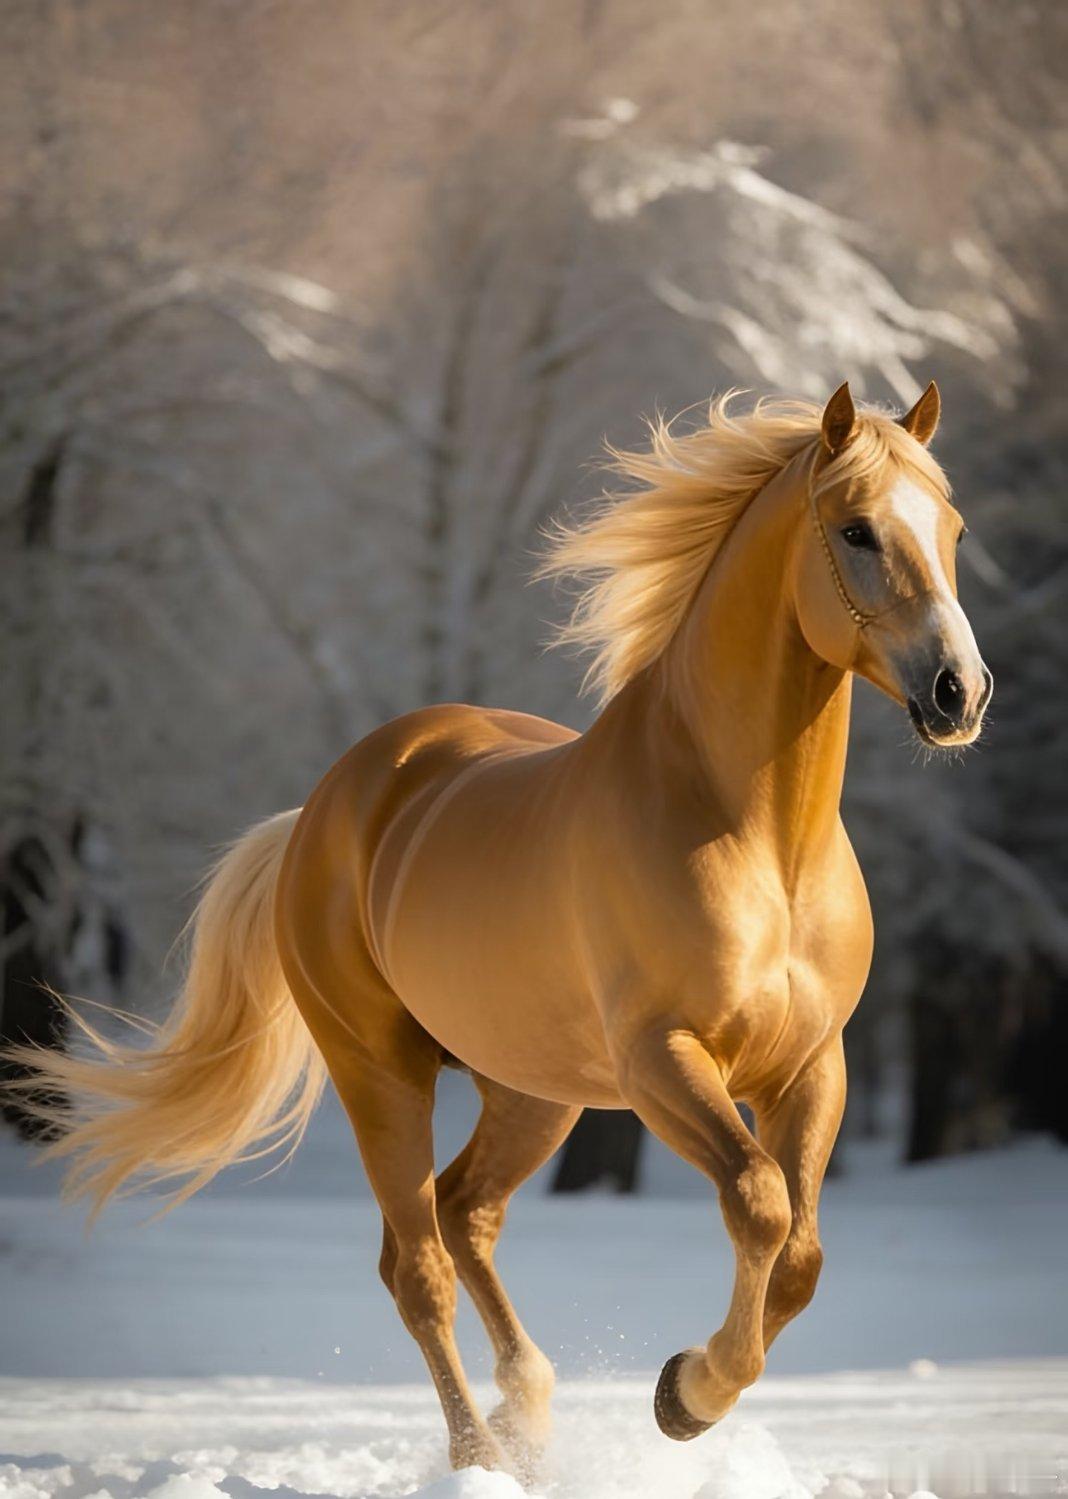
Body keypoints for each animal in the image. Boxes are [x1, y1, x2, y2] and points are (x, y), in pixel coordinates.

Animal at [9, 380, 992, 1477]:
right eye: (856, 529)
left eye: (951, 528)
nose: (960, 691)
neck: (754, 840)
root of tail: (323, 810)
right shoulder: (662, 1060)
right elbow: (759, 1200)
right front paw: (685, 1394)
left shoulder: (810, 1065)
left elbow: (804, 1253)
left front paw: (686, 1388)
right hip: (380, 1072)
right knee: (417, 1263)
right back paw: (482, 1451)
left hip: (531, 1090)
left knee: (465, 1210)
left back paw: (528, 1414)